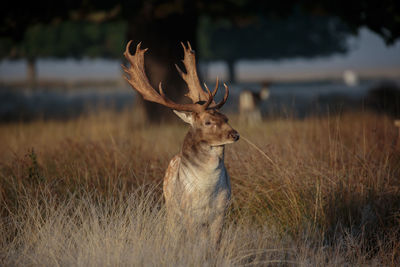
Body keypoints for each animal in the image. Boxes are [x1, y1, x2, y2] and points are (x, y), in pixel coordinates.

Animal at [122, 40, 239, 247]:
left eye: (226, 118)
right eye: (207, 122)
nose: (235, 134)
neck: (207, 193)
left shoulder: (221, 211)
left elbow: (214, 246)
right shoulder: (188, 212)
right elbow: (192, 244)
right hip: (171, 208)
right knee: (174, 234)